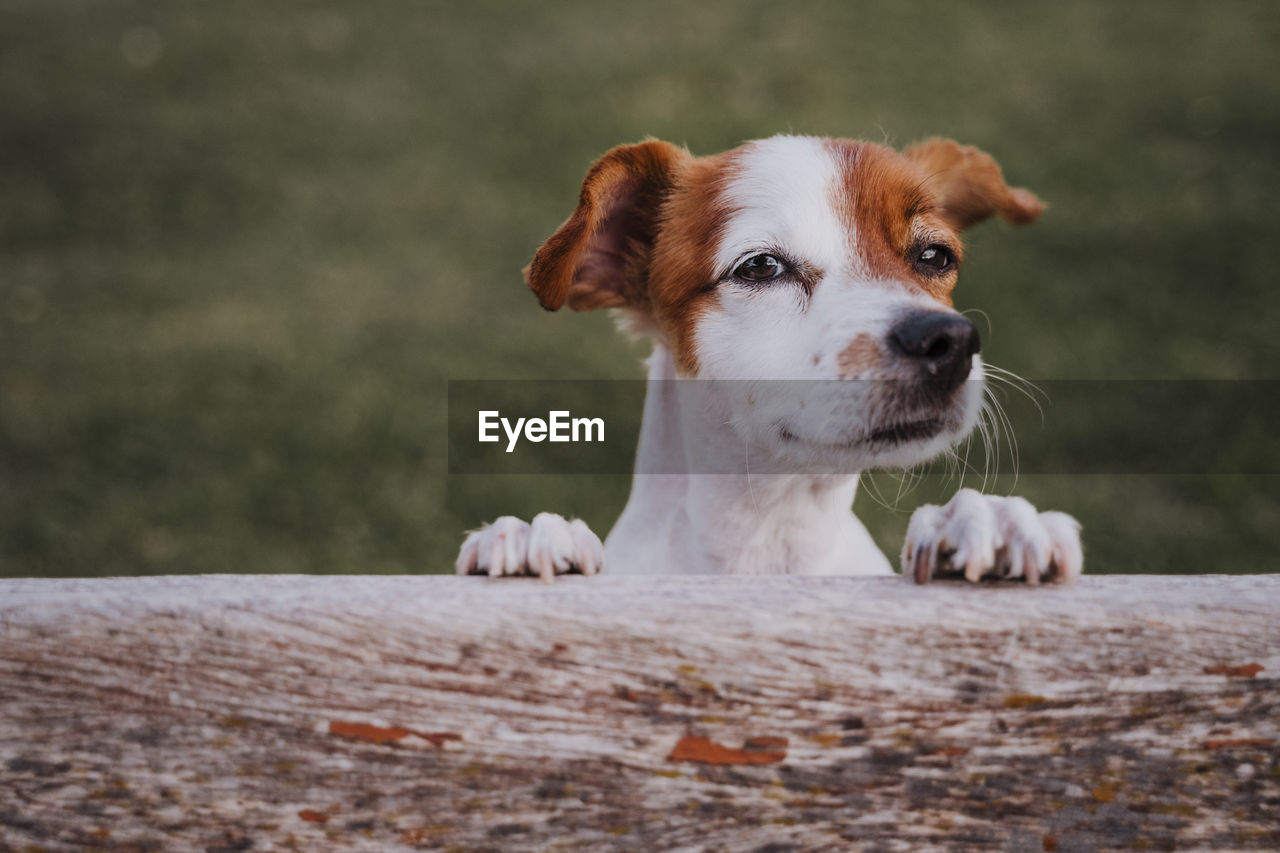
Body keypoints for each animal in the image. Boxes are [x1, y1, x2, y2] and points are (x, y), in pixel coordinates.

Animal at [458, 134, 1080, 584]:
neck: (771, 533)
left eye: (935, 256)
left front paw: (987, 519)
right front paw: (534, 536)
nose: (946, 339)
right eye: (760, 266)